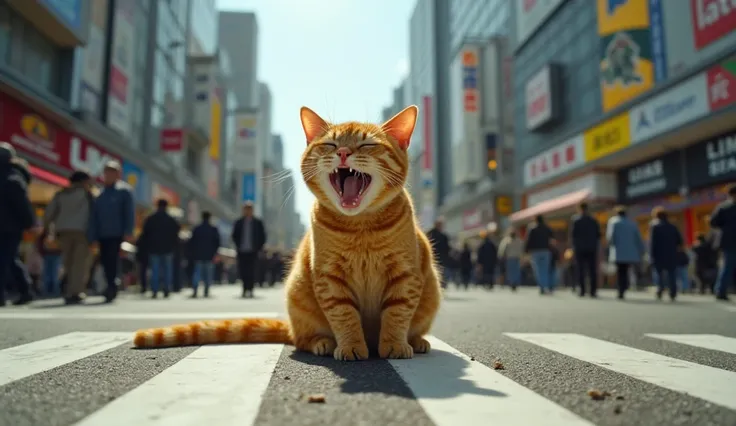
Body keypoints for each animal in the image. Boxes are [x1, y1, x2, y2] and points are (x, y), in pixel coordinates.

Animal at [131, 105, 442, 360]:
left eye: (367, 144)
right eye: (330, 144)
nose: (343, 153)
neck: (360, 228)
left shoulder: (405, 274)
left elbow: (397, 313)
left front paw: (395, 344)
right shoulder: (329, 279)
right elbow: (344, 315)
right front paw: (351, 345)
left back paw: (417, 340)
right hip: (298, 294)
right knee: (302, 340)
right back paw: (323, 343)